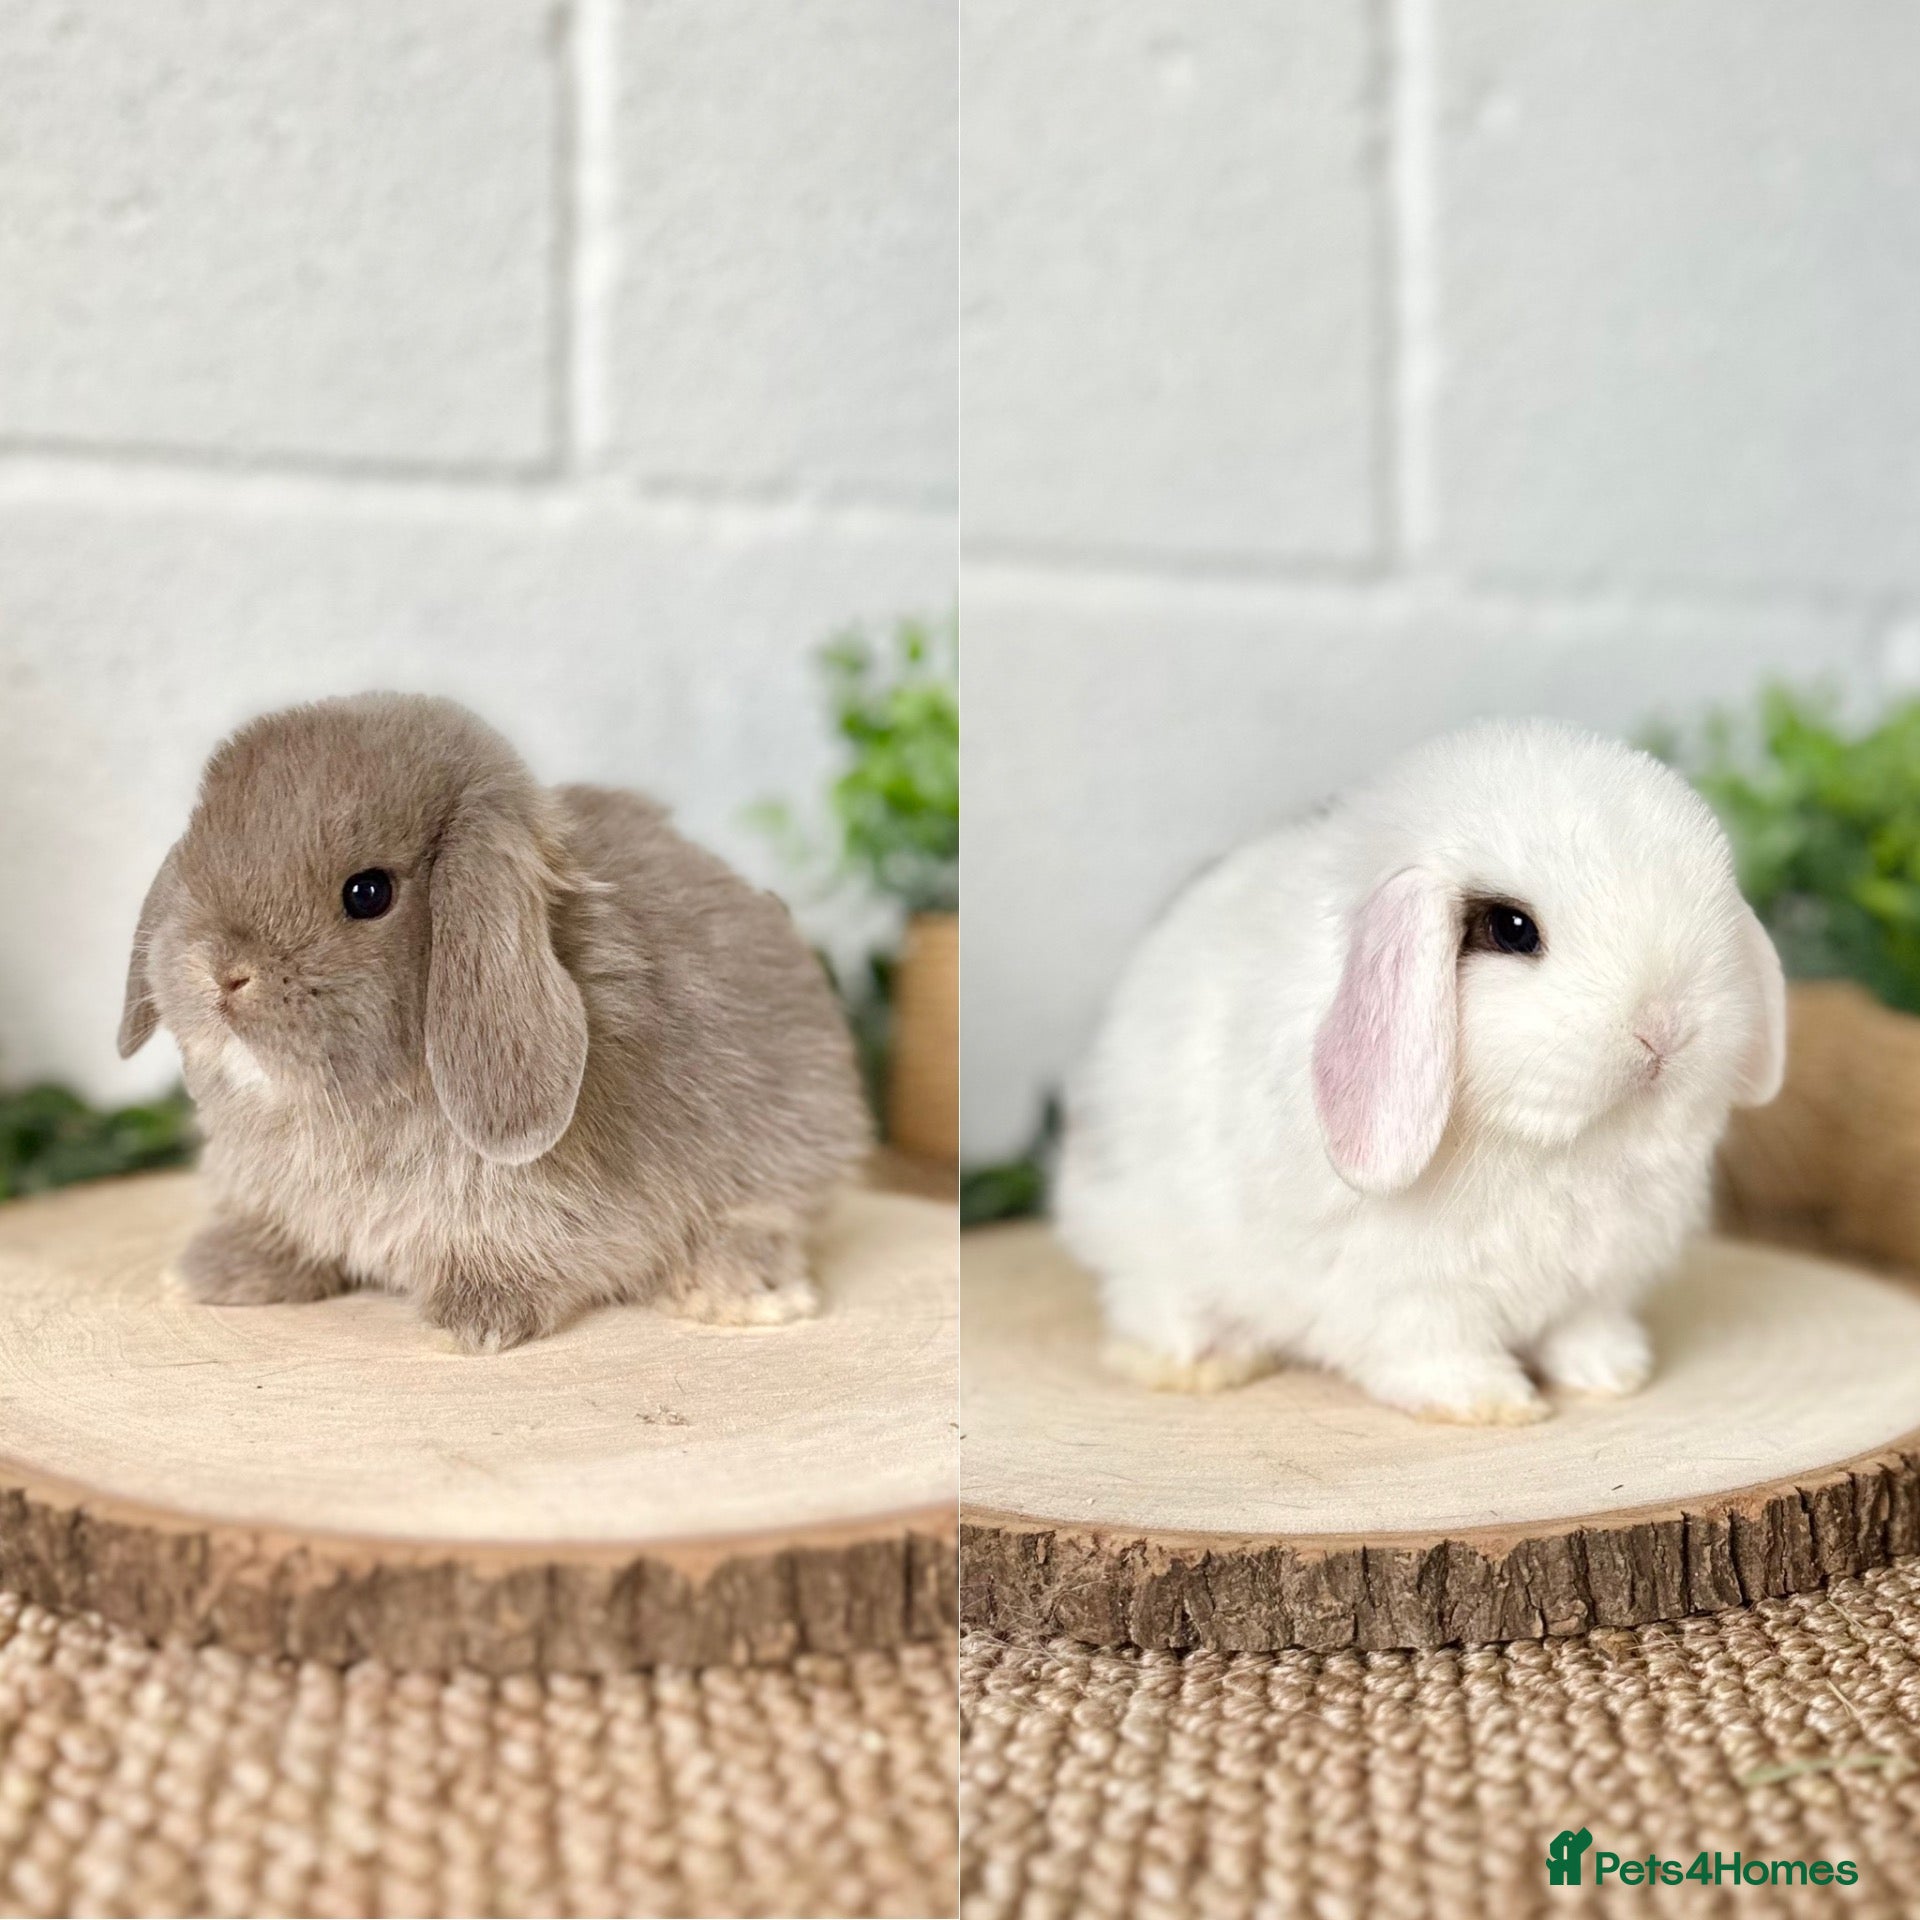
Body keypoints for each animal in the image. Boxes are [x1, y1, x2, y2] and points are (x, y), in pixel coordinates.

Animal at [118, 692, 870, 1352]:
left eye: (368, 893)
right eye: (197, 853)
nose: (222, 971)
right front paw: (212, 1274)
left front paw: (474, 1320)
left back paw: (739, 1288)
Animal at [1054, 717, 1786, 1425]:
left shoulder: (1597, 1281)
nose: (1665, 1029)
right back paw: (1203, 1361)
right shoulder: (1408, 1294)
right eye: (1512, 928)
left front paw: (1614, 1375)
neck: (1553, 1150)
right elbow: (1435, 1349)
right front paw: (1493, 1403)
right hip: (1145, 1233)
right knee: (1154, 1302)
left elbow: (1584, 1330)